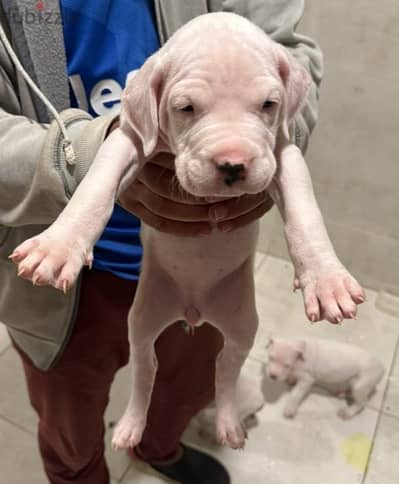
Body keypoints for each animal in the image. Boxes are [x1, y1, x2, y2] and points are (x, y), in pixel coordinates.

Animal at [9, 11, 366, 450]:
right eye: (185, 108)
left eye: (269, 105)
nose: (233, 164)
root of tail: (193, 309)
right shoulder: (128, 140)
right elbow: (94, 187)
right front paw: (57, 247)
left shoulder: (284, 154)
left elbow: (305, 213)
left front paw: (326, 280)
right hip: (143, 321)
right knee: (146, 371)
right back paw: (130, 426)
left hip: (241, 326)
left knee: (225, 373)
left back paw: (229, 424)